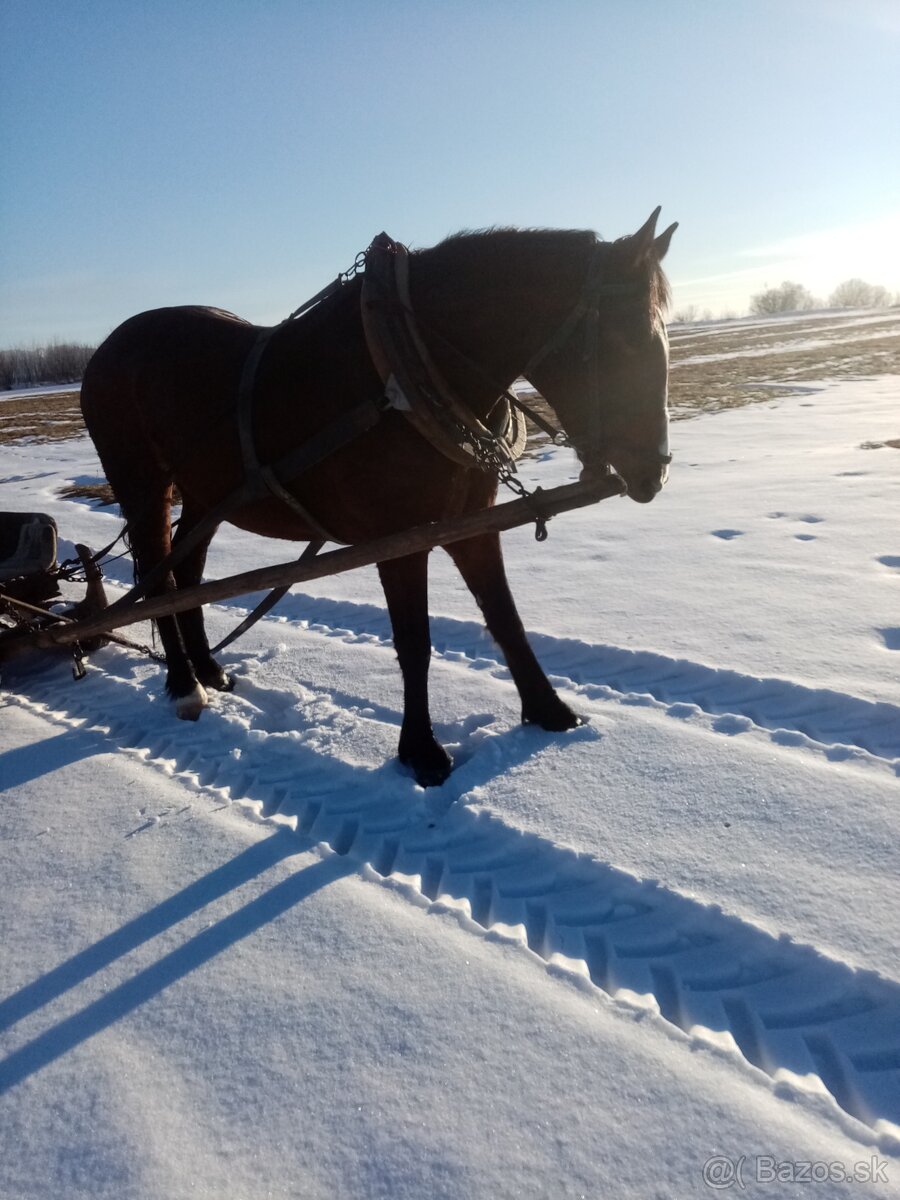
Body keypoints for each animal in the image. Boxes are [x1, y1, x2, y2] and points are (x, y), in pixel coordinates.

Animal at [82, 210, 676, 782]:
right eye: (622, 342)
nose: (654, 472)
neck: (410, 369)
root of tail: (107, 350)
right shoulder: (399, 541)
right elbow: (414, 644)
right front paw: (422, 753)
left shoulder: (473, 524)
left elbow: (506, 618)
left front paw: (550, 710)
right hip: (142, 485)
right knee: (158, 577)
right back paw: (186, 685)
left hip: (207, 494)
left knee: (187, 574)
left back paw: (209, 669)